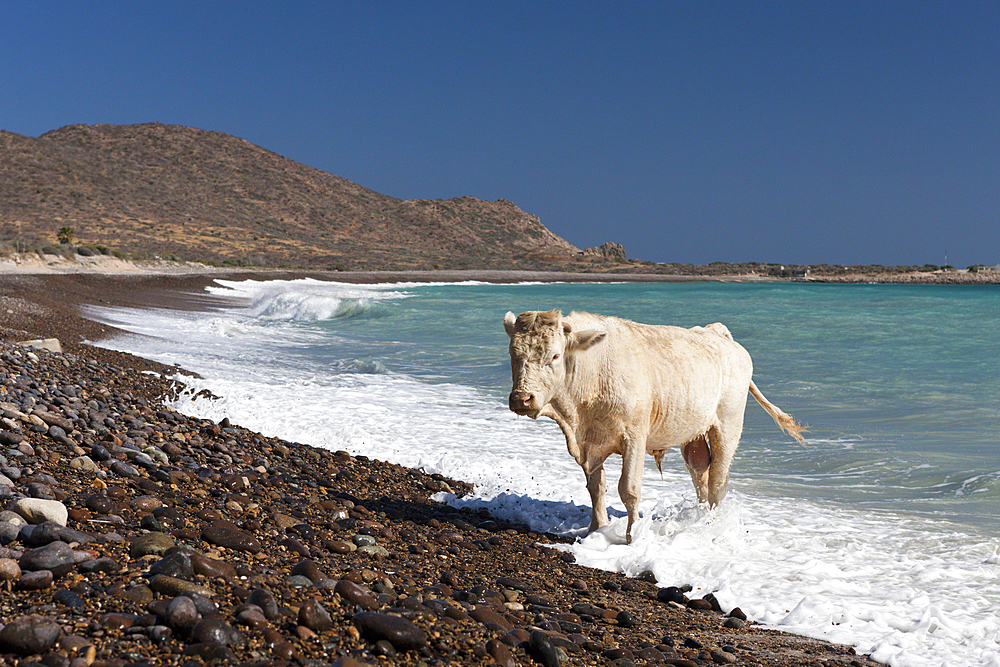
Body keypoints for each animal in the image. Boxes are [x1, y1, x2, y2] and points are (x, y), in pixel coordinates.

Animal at [500, 310, 804, 544]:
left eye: (554, 356)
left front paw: (632, 537)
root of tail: (718, 334)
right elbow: (596, 487)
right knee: (701, 473)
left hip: (728, 425)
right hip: (692, 433)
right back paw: (699, 520)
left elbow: (629, 489)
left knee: (719, 479)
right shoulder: (589, 443)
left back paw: (712, 526)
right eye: (513, 354)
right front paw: (597, 530)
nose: (522, 398)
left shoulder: (634, 437)